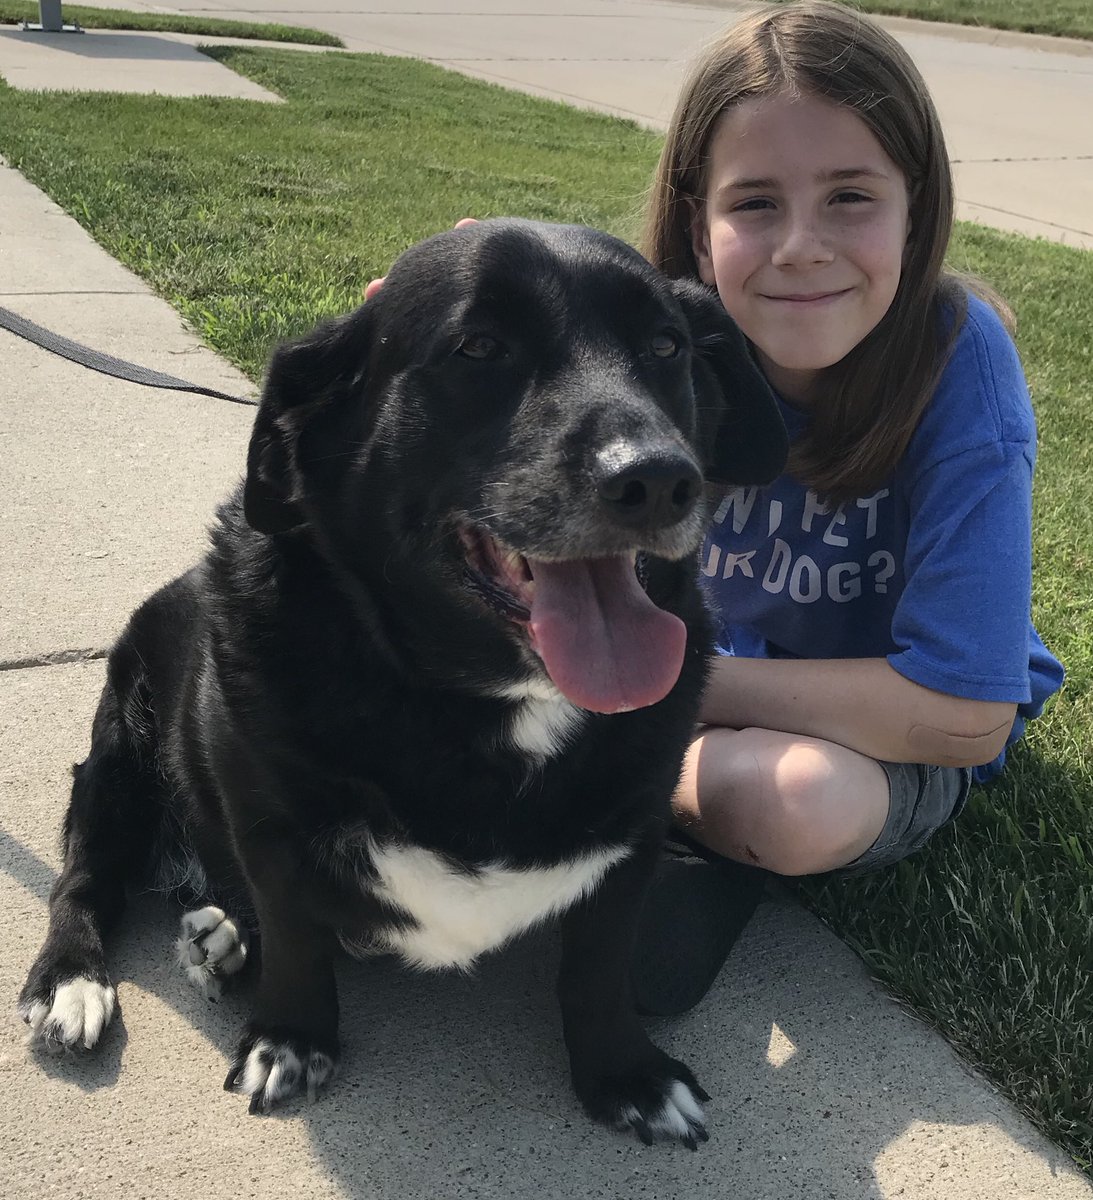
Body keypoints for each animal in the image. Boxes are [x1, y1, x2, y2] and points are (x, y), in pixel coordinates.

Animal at [19, 220, 787, 1147]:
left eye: (667, 346)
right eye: (479, 347)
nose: (661, 478)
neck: (479, 701)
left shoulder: (632, 832)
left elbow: (599, 965)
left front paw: (623, 1072)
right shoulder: (268, 823)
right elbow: (296, 936)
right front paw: (293, 1038)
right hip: (120, 754)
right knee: (84, 875)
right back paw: (77, 980)